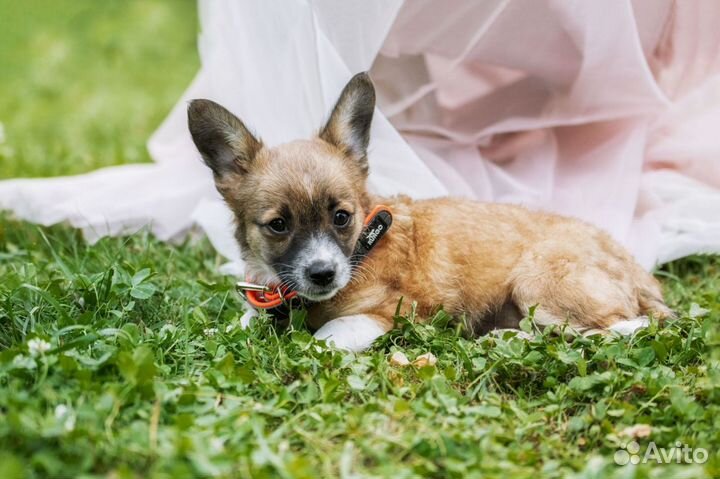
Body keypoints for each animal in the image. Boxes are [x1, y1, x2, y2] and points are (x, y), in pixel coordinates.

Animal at [188, 74, 672, 352]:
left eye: (341, 217)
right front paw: (219, 332)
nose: (323, 274)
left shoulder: (383, 315)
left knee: (620, 327)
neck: (362, 247)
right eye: (278, 226)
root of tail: (640, 273)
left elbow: (325, 339)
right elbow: (243, 321)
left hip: (539, 282)